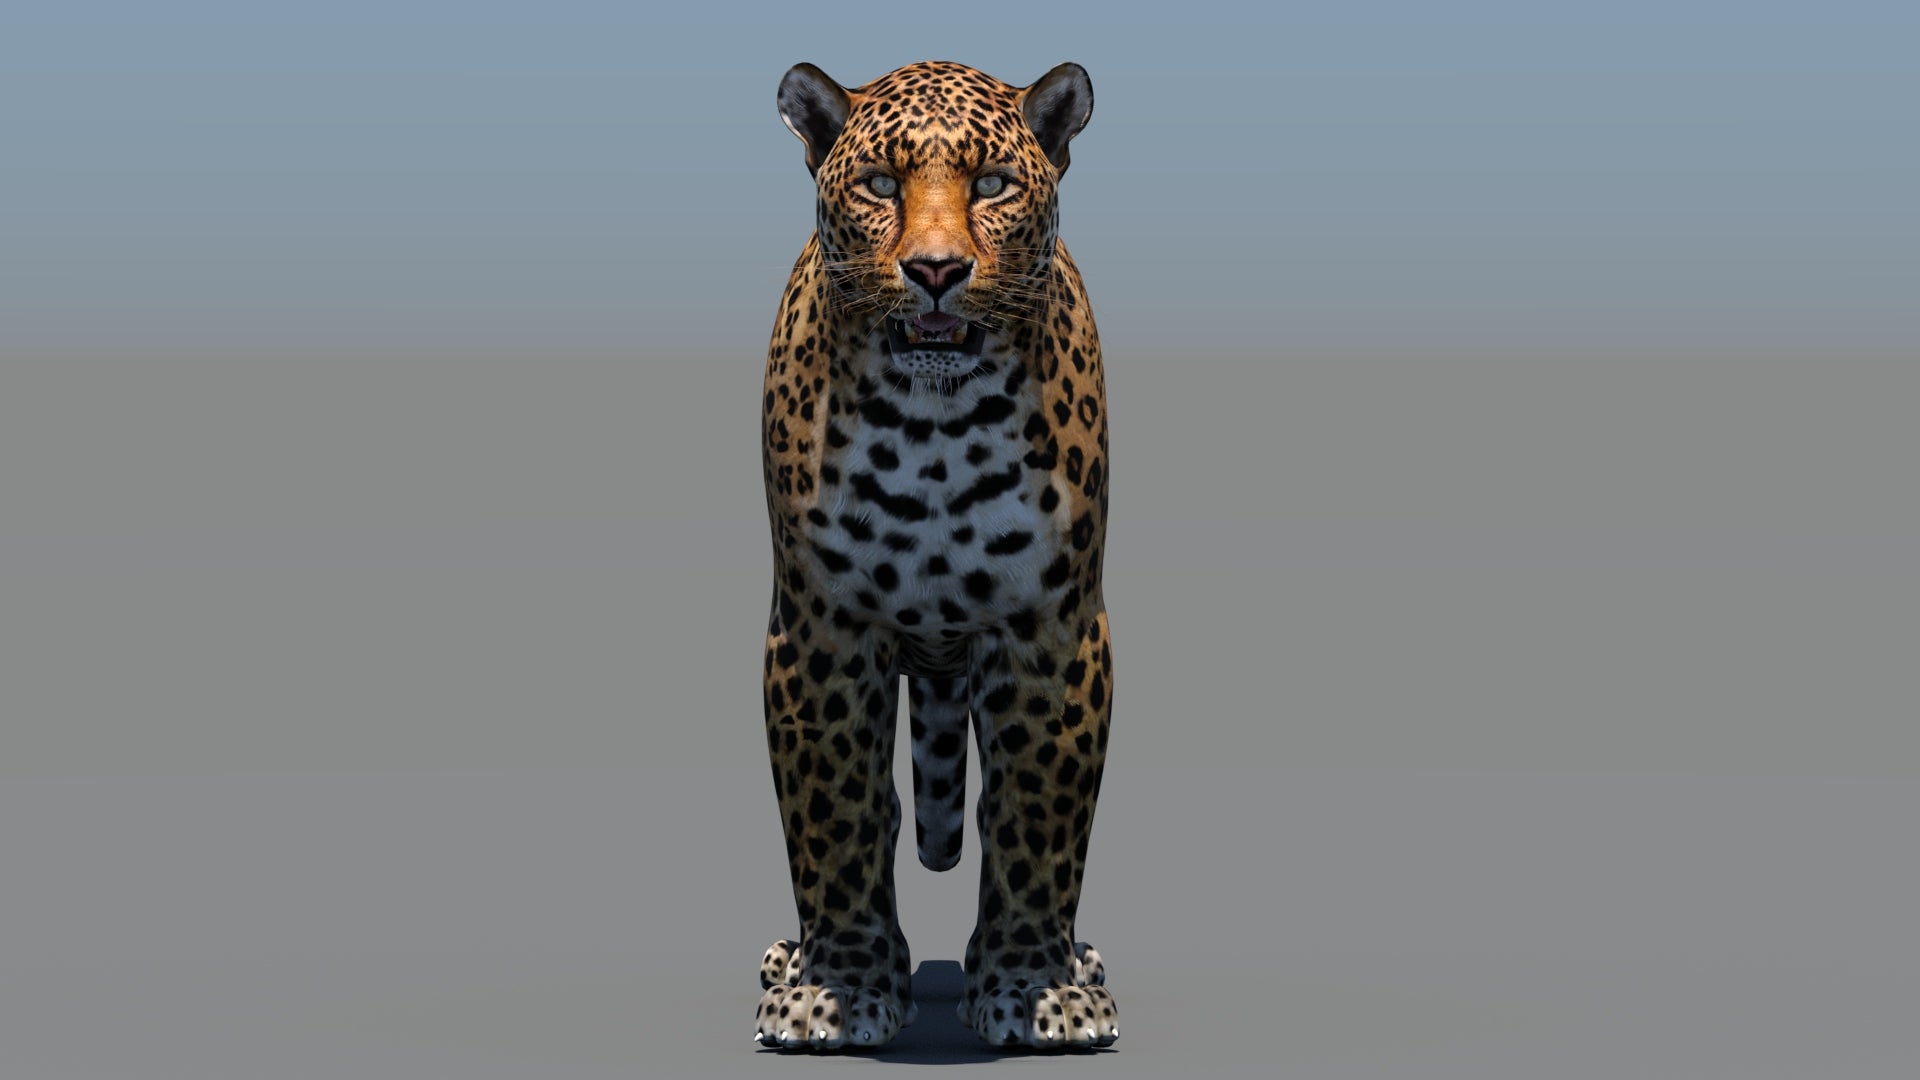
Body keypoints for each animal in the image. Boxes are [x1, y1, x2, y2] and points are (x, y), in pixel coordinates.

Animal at [754, 59, 1116, 1052]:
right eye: (881, 184)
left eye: (991, 184)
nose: (937, 271)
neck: (935, 429)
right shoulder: (822, 631)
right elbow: (837, 813)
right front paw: (835, 990)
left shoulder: (1051, 631)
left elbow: (1036, 816)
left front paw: (1037, 988)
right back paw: (784, 961)